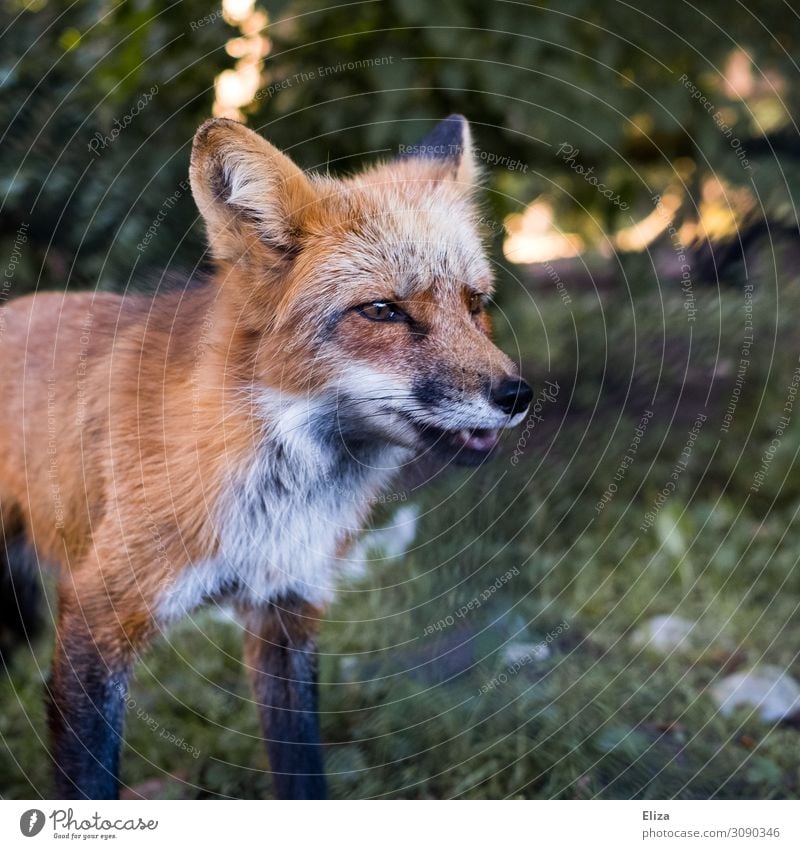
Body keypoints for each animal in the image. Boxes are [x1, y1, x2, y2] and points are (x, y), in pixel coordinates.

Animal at [1, 114, 536, 800]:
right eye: (383, 310)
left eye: (475, 305)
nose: (516, 395)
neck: (278, 497)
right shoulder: (98, 612)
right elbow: (90, 782)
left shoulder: (288, 608)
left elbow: (303, 774)